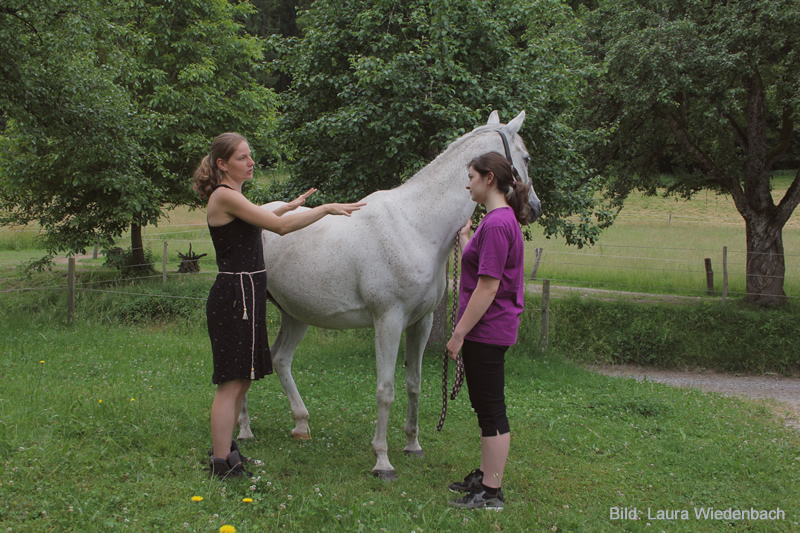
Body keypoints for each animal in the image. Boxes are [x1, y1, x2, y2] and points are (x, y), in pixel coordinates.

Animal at [236, 110, 536, 476]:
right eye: (526, 158)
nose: (534, 208)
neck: (416, 225)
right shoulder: (388, 321)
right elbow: (385, 389)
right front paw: (382, 460)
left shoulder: (421, 322)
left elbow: (413, 384)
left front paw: (413, 445)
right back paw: (244, 430)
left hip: (296, 314)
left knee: (280, 359)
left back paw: (301, 424)